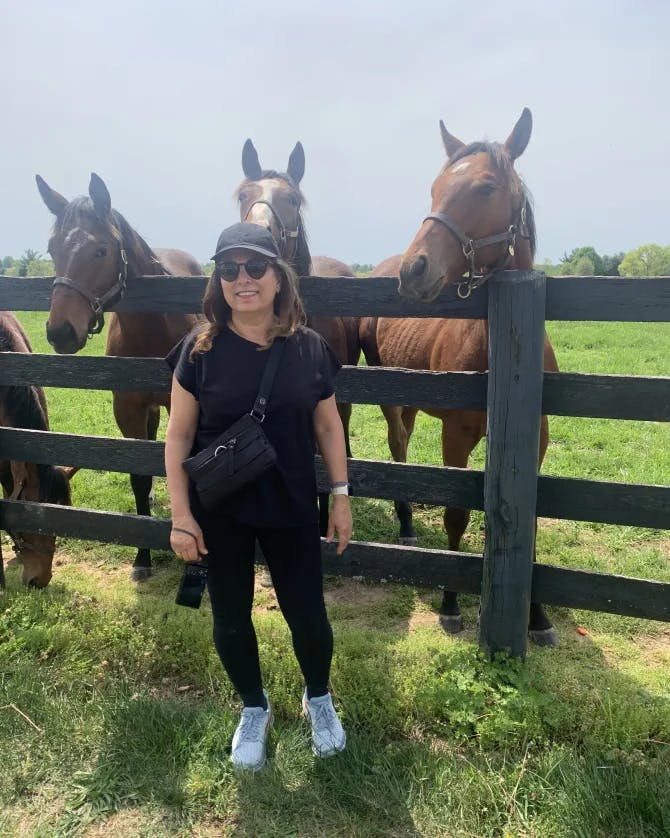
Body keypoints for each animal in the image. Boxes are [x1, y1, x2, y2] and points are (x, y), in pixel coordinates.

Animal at [36, 171, 202, 576]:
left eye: (101, 251)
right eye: (52, 248)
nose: (61, 332)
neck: (153, 329)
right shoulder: (127, 407)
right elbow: (138, 475)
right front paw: (142, 557)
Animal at [362, 111, 560, 648]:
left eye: (486, 187)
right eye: (434, 188)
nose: (415, 270)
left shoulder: (534, 443)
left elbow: (530, 521)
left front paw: (538, 616)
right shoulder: (456, 436)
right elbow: (455, 516)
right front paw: (450, 603)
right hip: (390, 396)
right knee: (399, 446)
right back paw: (406, 522)